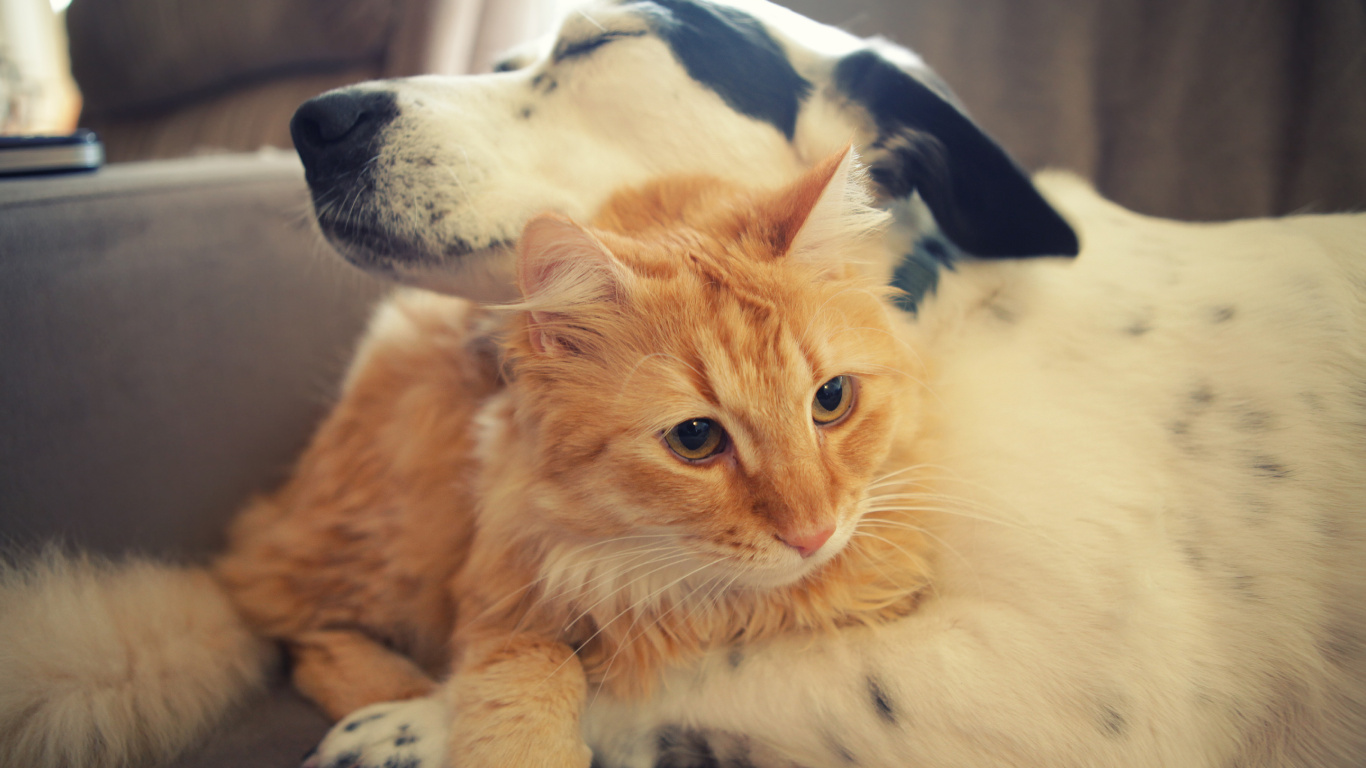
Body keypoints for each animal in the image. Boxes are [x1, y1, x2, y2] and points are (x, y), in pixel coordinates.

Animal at [213, 146, 939, 759]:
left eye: (832, 399)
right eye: (696, 439)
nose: (813, 534)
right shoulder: (506, 588)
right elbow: (531, 679)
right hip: (397, 536)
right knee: (292, 621)